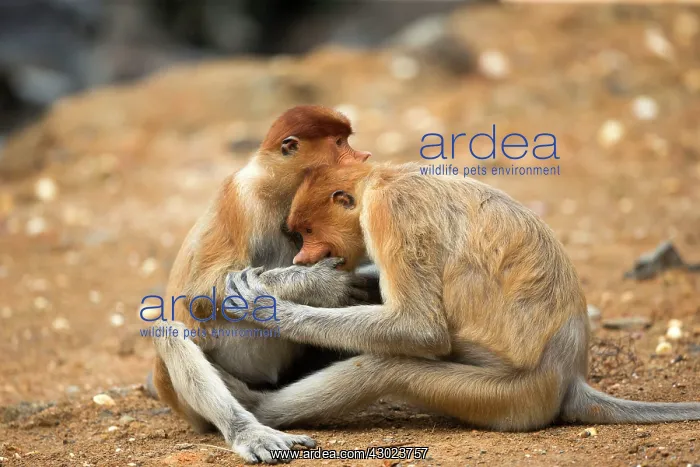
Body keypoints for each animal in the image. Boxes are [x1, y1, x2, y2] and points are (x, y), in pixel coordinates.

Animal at [151, 106, 375, 464]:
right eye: (340, 143)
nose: (363, 156)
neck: (277, 190)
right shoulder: (242, 204)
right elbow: (201, 294)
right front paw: (324, 284)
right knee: (167, 331)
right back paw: (250, 433)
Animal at [225, 162, 700, 431]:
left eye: (307, 231)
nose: (302, 256)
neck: (380, 179)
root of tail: (569, 374)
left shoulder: (391, 211)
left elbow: (421, 329)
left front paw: (267, 306)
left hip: (513, 397)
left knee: (387, 369)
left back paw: (254, 405)